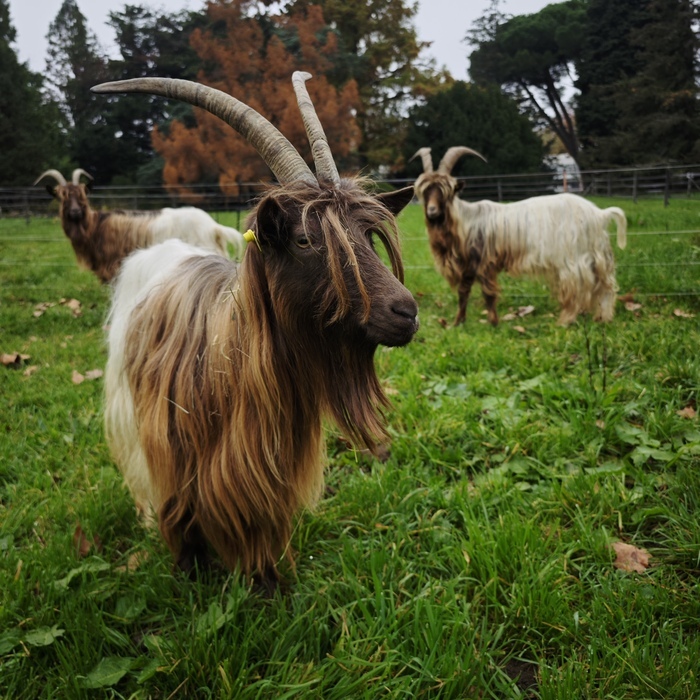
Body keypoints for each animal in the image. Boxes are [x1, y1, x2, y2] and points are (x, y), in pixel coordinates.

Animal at [95, 72, 418, 592]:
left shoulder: (263, 468)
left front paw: (268, 585)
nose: (406, 311)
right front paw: (189, 574)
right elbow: (179, 516)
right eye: (304, 240)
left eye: (369, 236)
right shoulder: (172, 448)